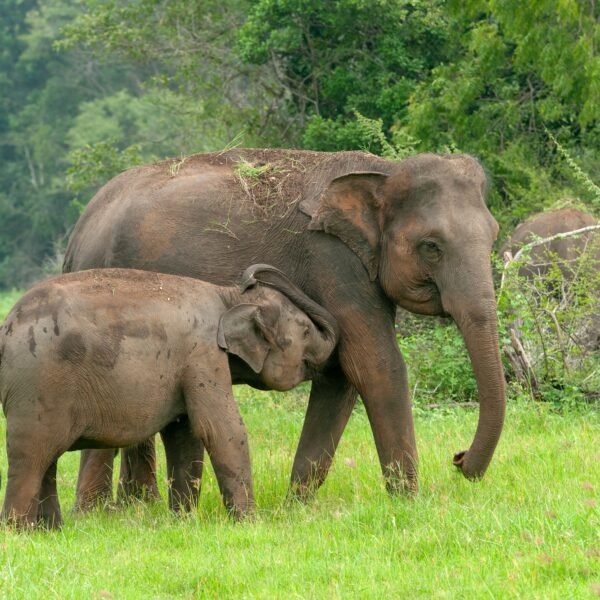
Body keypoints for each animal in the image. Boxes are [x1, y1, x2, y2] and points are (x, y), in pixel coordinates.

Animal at [0, 264, 338, 528]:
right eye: (305, 332)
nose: (251, 276)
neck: (227, 296)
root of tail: (6, 327)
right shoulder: (204, 353)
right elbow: (219, 429)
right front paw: (250, 523)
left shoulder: (188, 364)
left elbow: (183, 434)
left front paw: (183, 521)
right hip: (37, 387)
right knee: (31, 457)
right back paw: (19, 533)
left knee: (46, 460)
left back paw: (50, 531)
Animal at [64, 148, 506, 504]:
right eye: (431, 247)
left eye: (494, 236)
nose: (458, 459)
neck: (382, 171)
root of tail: (79, 229)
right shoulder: (332, 259)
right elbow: (374, 365)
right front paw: (410, 502)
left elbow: (340, 375)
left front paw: (297, 505)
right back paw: (109, 511)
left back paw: (139, 506)